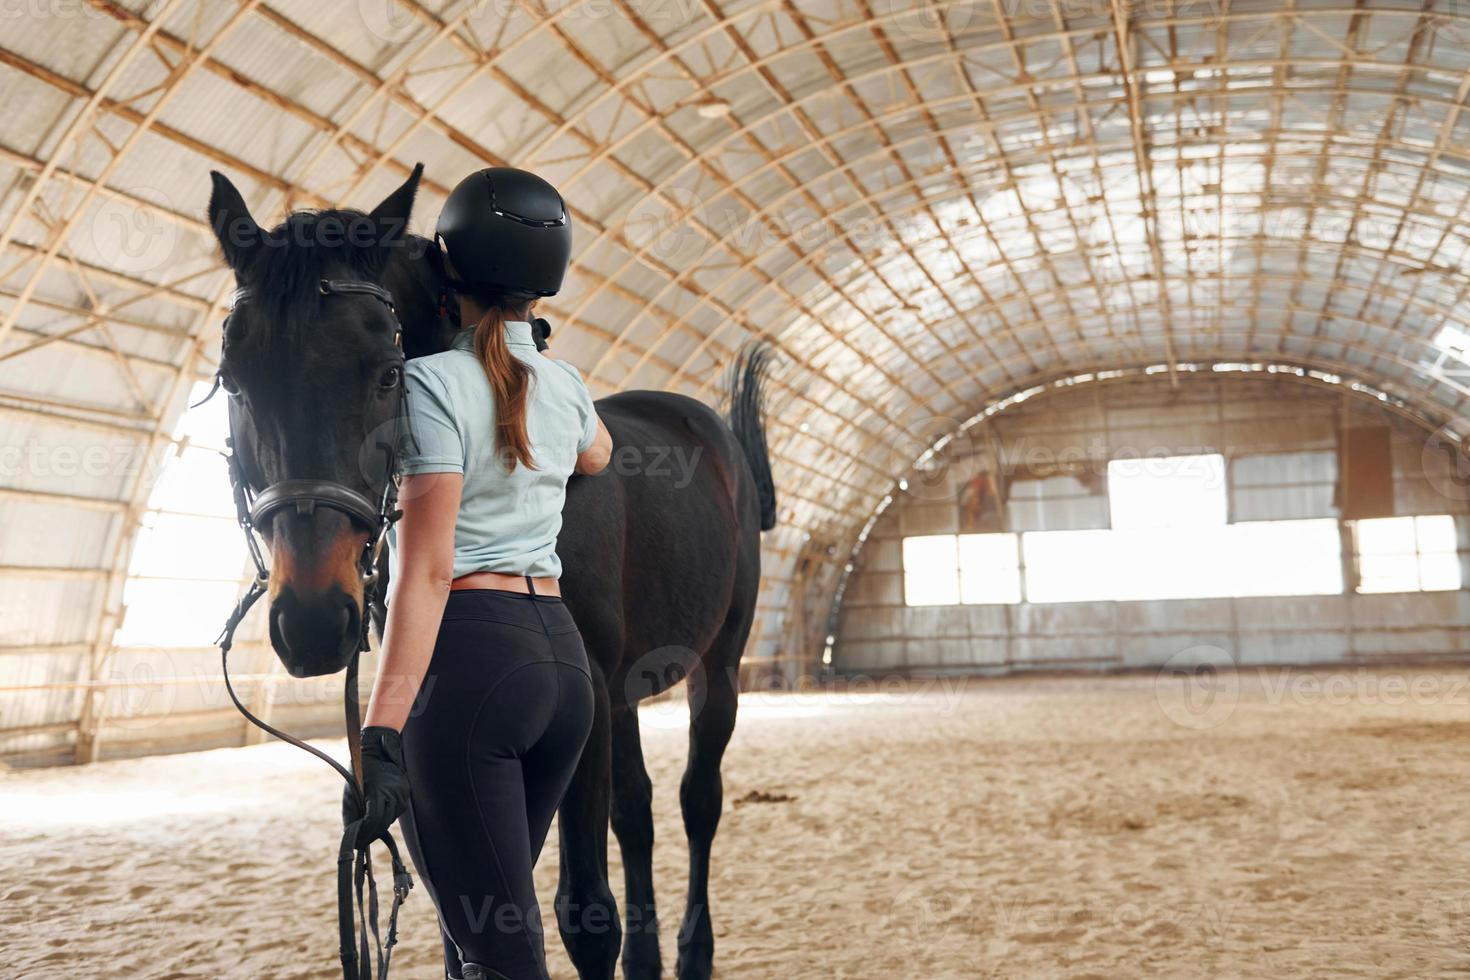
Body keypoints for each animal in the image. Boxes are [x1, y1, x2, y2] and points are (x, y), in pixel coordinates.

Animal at [214, 164, 782, 975]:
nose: (314, 622)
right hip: (628, 697)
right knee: (637, 814)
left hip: (717, 667)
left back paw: (692, 952)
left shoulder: (592, 704)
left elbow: (585, 913)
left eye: (389, 375)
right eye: (234, 378)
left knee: (696, 802)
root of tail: (710, 429)